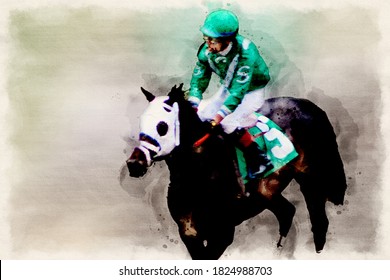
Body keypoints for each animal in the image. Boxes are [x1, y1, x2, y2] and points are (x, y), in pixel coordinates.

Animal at [126, 83, 346, 260]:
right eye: (141, 122)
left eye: (162, 126)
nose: (134, 163)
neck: (198, 175)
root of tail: (313, 107)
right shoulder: (189, 231)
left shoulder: (222, 230)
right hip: (267, 192)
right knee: (287, 211)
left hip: (311, 179)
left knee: (318, 220)